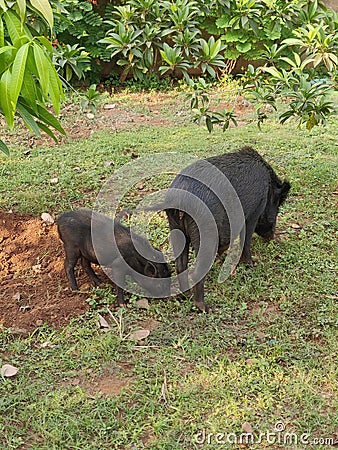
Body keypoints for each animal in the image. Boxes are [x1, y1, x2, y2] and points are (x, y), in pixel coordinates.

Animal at [164, 148, 290, 312]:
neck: (267, 188)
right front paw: (251, 264)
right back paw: (205, 307)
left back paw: (185, 296)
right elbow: (245, 239)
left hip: (175, 228)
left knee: (180, 265)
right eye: (278, 205)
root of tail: (181, 197)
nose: (272, 236)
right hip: (204, 231)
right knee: (197, 270)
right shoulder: (253, 213)